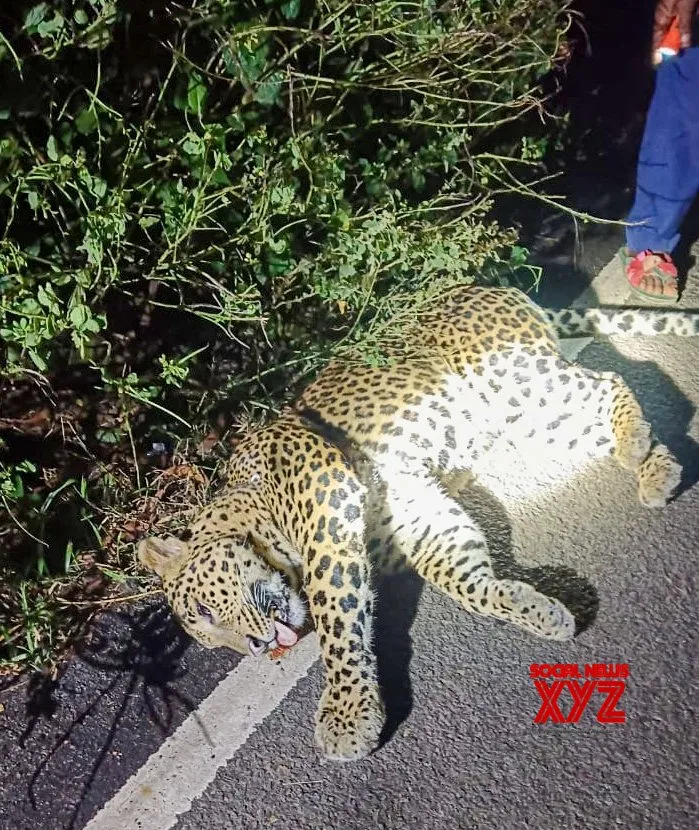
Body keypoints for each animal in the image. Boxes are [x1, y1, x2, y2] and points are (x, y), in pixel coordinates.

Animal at [139, 285, 696, 763]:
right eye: (214, 642)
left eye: (205, 612)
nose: (256, 649)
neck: (252, 506)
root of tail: (483, 286)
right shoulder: (415, 512)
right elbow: (465, 579)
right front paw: (535, 609)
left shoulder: (327, 509)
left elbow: (332, 618)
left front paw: (346, 714)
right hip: (527, 414)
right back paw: (655, 469)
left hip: (513, 380)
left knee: (613, 380)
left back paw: (635, 443)